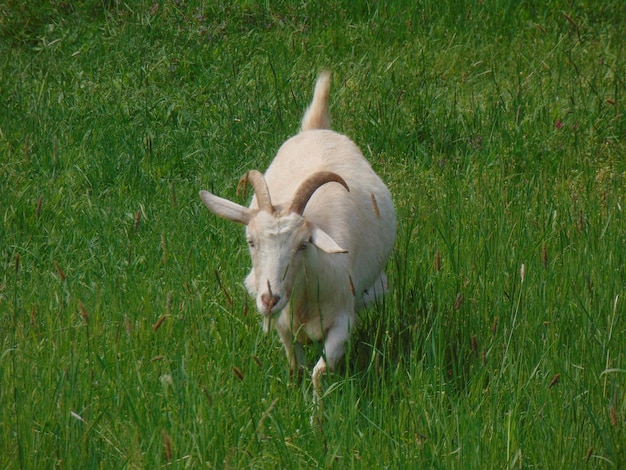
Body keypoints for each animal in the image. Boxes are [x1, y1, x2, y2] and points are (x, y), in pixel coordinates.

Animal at [199, 71, 394, 402]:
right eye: (251, 241)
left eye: (303, 245)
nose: (269, 298)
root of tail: (316, 128)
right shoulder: (283, 324)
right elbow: (296, 366)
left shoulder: (342, 322)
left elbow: (319, 372)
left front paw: (316, 411)